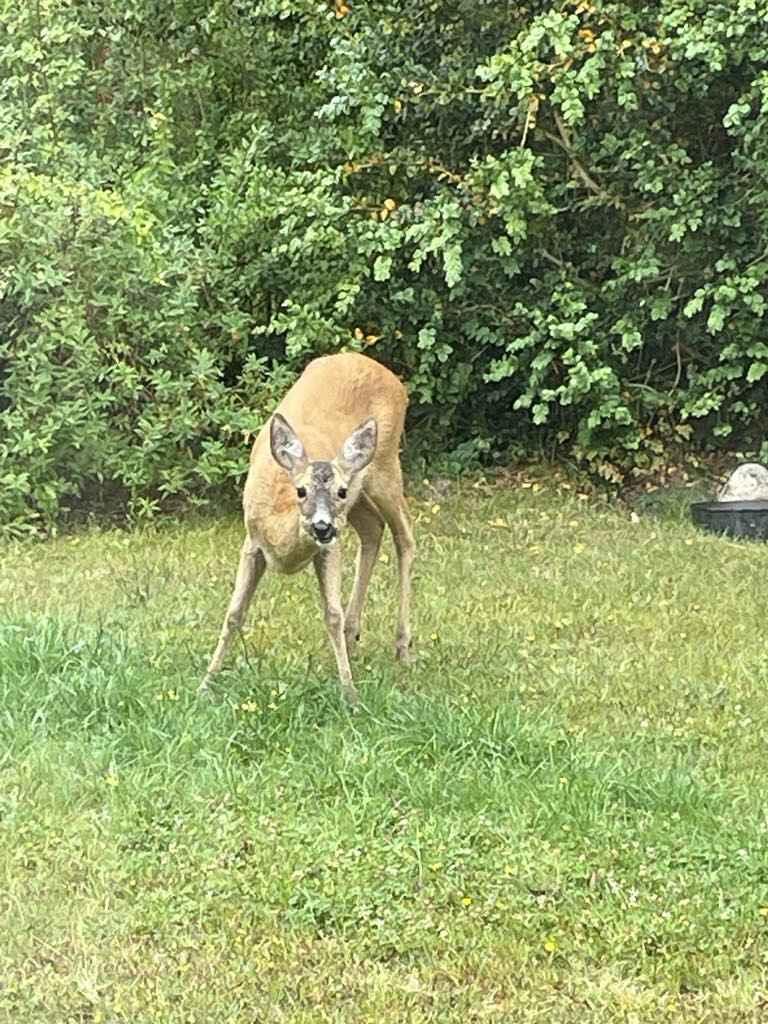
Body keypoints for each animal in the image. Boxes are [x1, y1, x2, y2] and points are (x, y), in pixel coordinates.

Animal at [199, 352, 415, 705]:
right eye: (300, 490)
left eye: (340, 491)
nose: (322, 527)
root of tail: (392, 377)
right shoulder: (252, 541)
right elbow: (233, 614)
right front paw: (206, 683)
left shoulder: (329, 547)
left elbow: (331, 614)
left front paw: (349, 694)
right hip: (360, 499)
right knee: (373, 527)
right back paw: (352, 637)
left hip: (384, 467)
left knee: (405, 537)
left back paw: (402, 646)